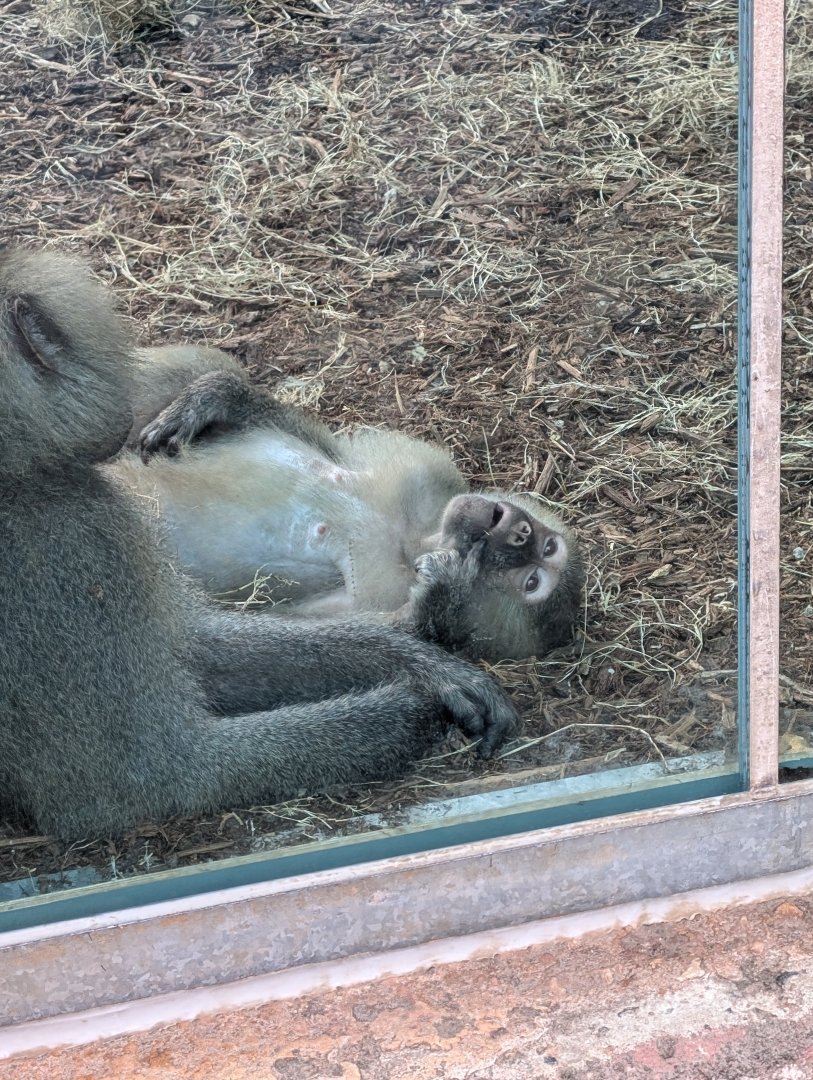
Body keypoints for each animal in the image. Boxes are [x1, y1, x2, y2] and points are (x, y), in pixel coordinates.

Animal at [109, 349, 585, 663]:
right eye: (547, 547)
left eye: (532, 582)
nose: (521, 532)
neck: (410, 536)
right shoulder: (423, 471)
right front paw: (217, 397)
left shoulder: (376, 595)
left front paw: (444, 591)